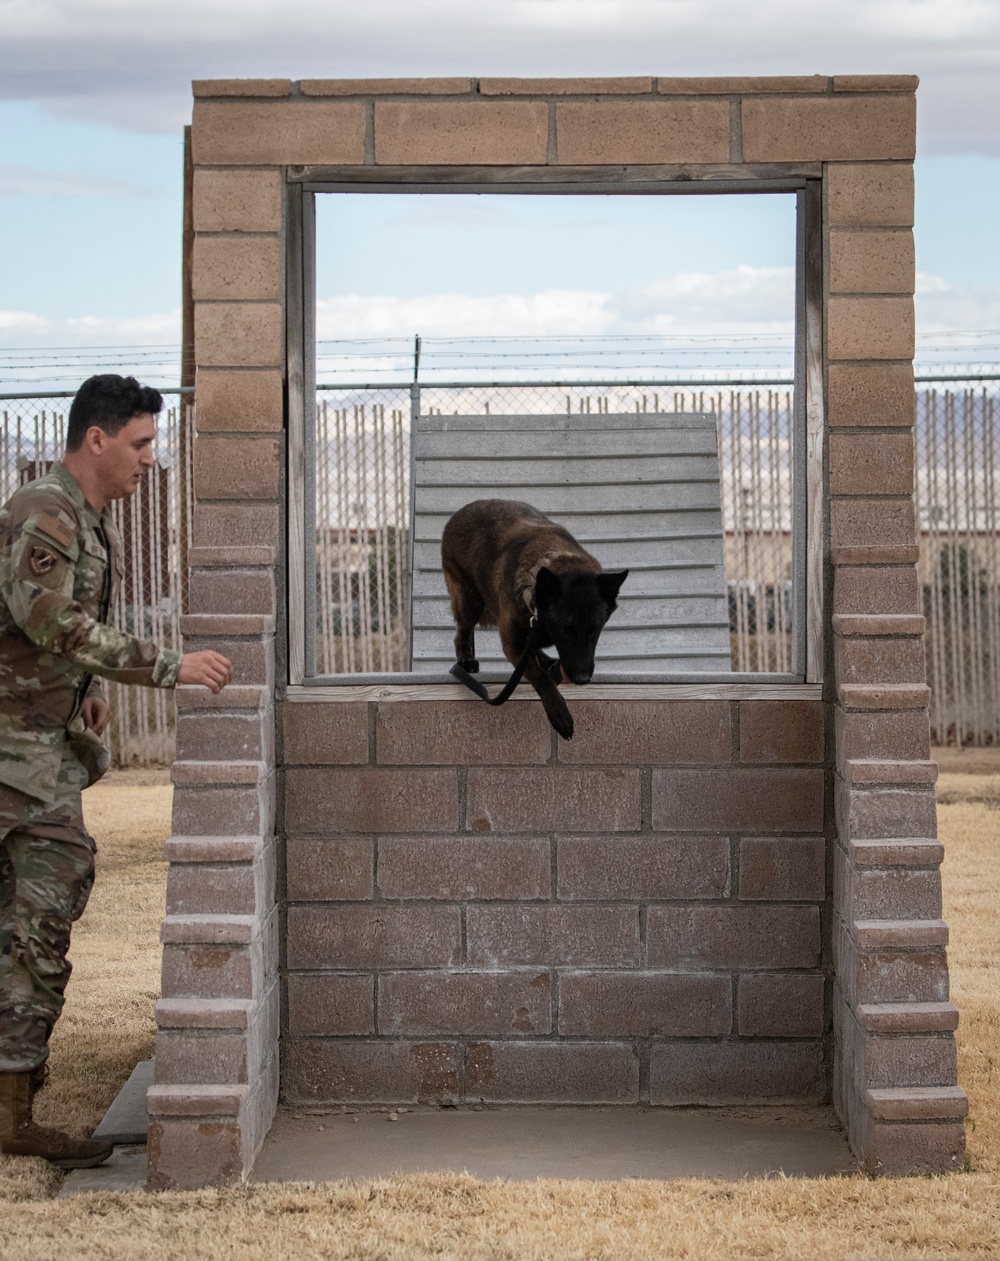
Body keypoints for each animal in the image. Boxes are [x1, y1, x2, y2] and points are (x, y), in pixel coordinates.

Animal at [443, 496, 627, 736]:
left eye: (595, 630)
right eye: (565, 629)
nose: (582, 679)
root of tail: (459, 513)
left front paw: (552, 668)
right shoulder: (512, 645)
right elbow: (538, 675)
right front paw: (558, 712)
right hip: (470, 602)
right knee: (462, 633)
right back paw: (466, 660)